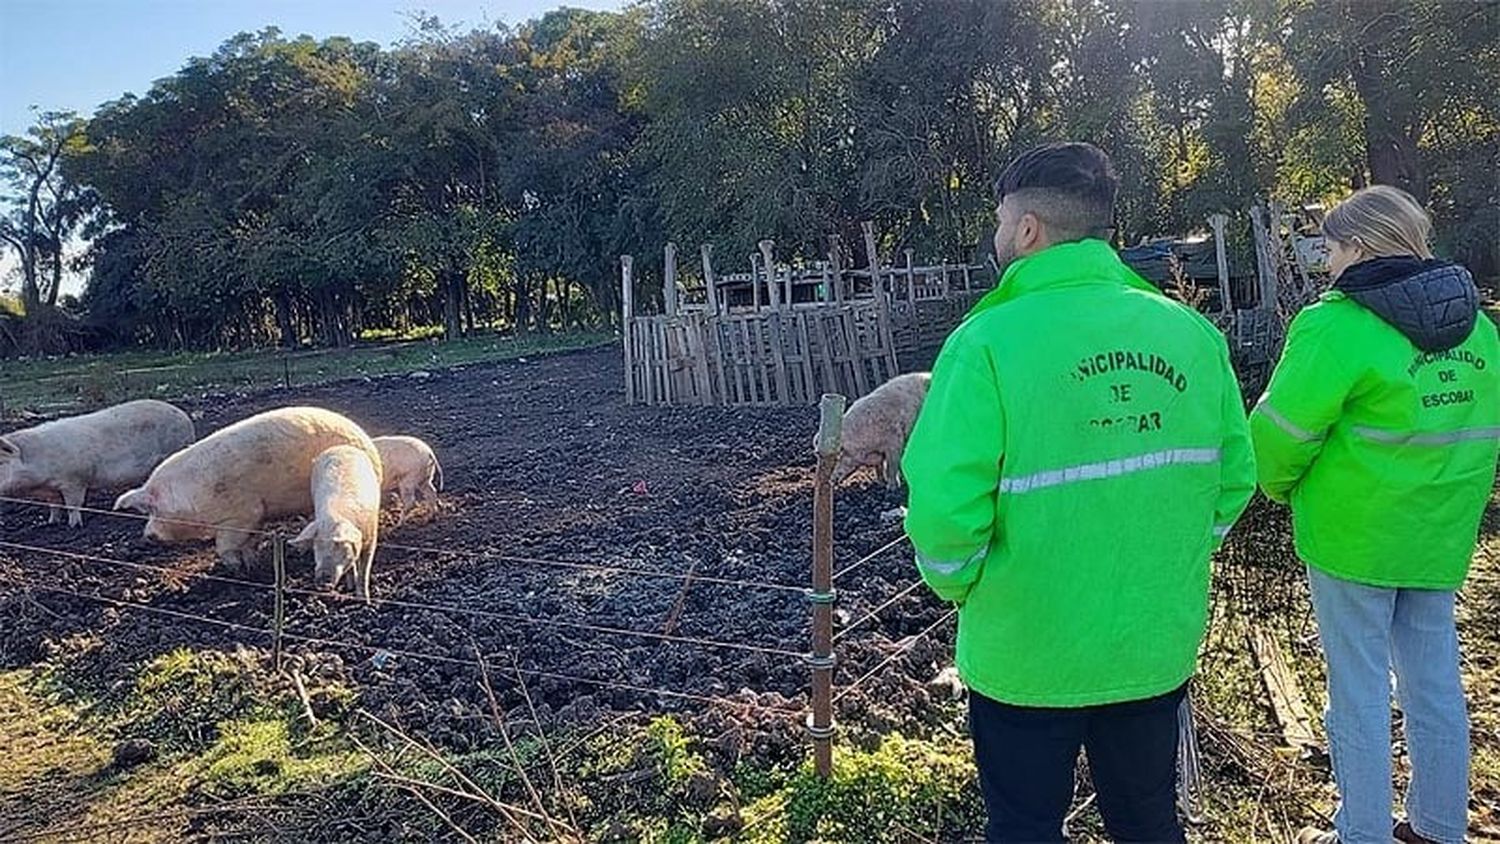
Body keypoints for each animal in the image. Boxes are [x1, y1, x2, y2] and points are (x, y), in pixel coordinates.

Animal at [0, 398, 195, 524]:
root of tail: (185, 417)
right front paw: (50, 523)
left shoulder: (75, 481)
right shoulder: (50, 490)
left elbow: (73, 505)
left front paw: (74, 525)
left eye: (1, 463)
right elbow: (54, 506)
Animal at [111, 404, 381, 572]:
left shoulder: (243, 514)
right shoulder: (256, 515)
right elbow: (251, 541)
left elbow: (225, 545)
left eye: (153, 510)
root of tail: (366, 440)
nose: (147, 535)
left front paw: (236, 568)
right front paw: (252, 564)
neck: (192, 498)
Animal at [288, 446, 378, 605]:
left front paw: (365, 601)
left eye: (339, 545)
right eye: (316, 546)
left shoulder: (371, 537)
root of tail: (340, 447)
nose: (323, 581)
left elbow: (364, 571)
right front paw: (351, 588)